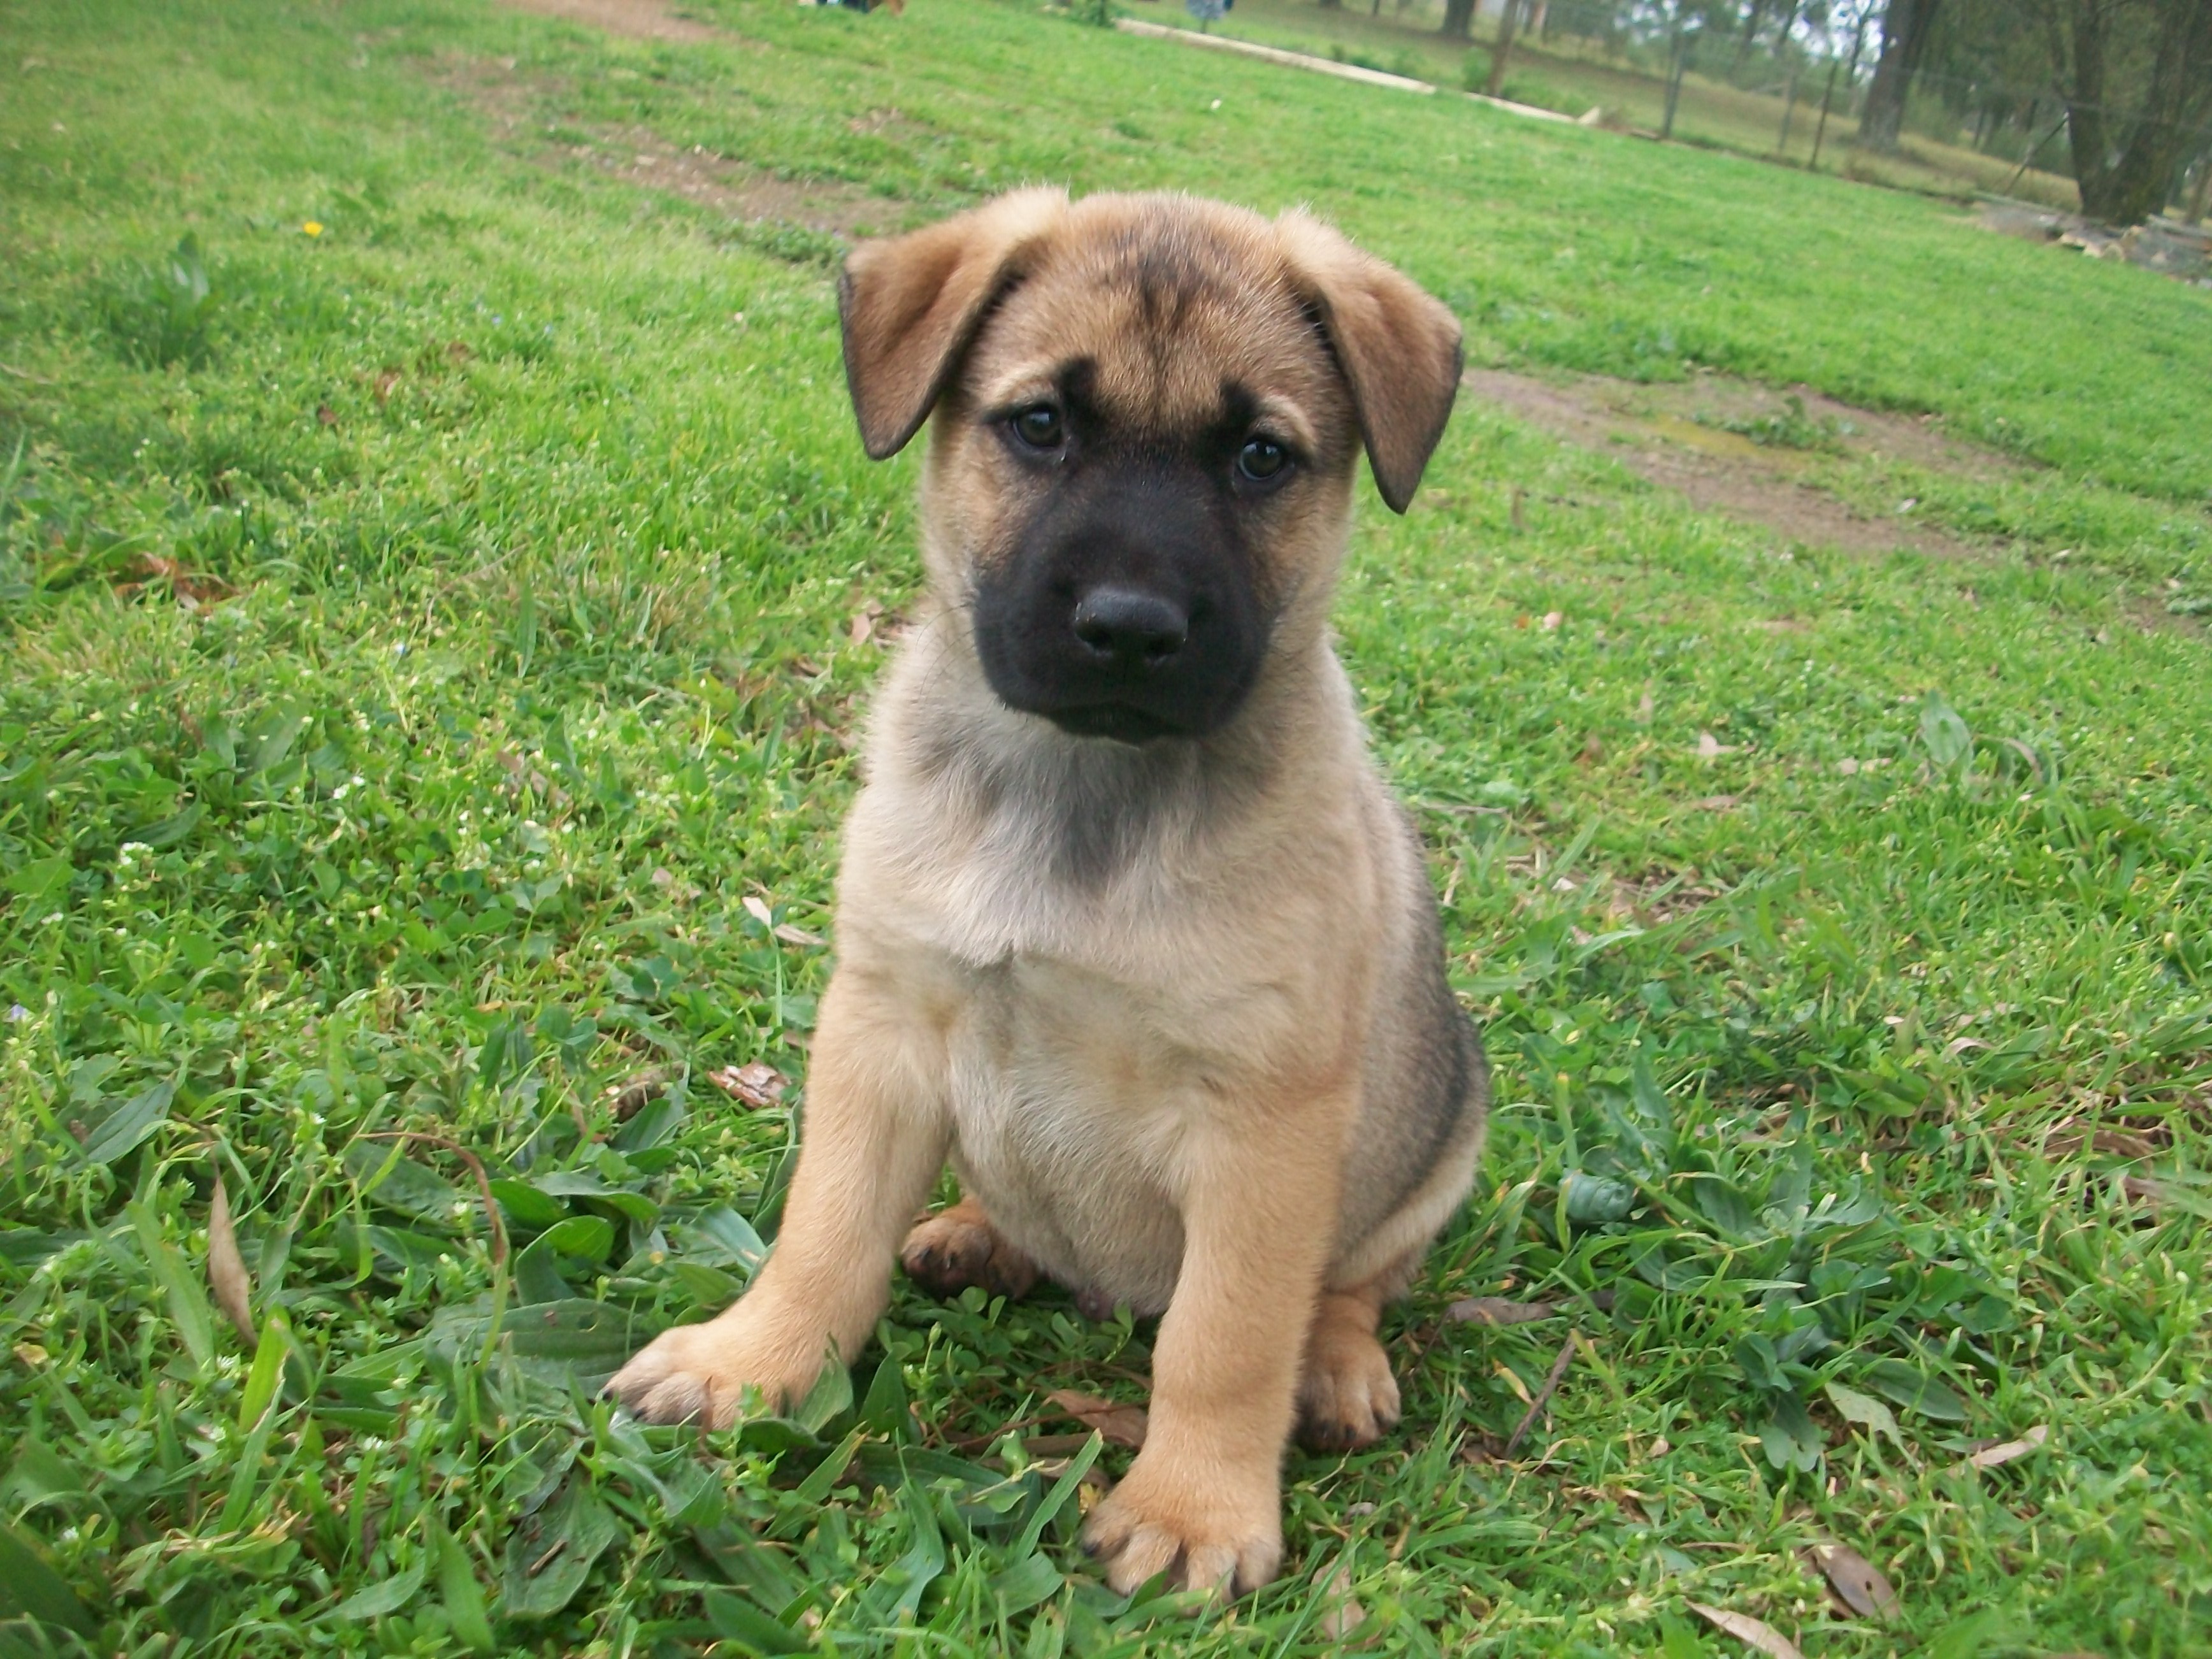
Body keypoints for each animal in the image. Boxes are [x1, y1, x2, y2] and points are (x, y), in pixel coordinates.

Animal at [609, 188, 1488, 1598]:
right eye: (1038, 425)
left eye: (1259, 457)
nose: (1129, 627)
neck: (1085, 794)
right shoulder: (882, 1024)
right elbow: (823, 1231)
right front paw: (752, 1363)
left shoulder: (1262, 1123)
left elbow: (1224, 1337)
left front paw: (1193, 1508)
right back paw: (977, 1231)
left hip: (1438, 1147)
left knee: (1350, 1284)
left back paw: (1339, 1365)